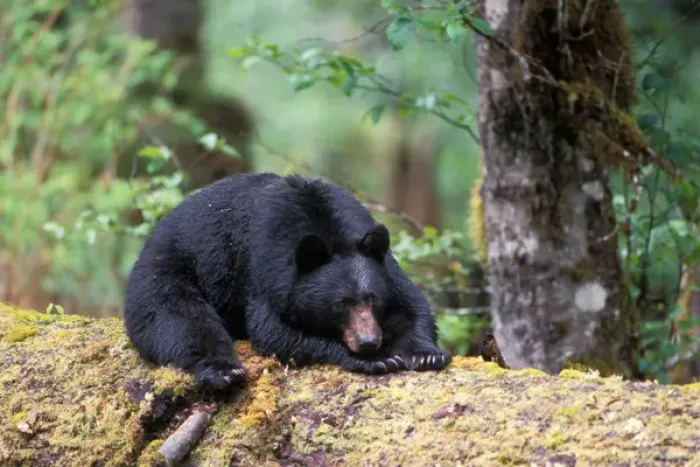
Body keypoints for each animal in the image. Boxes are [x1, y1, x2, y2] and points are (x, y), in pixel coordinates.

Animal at [124, 172, 451, 390]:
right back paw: (223, 371)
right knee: (179, 319)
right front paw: (374, 361)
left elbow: (411, 303)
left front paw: (426, 354)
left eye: (373, 298)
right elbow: (274, 332)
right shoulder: (267, 270)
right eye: (340, 304)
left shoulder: (381, 260)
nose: (368, 342)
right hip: (167, 270)